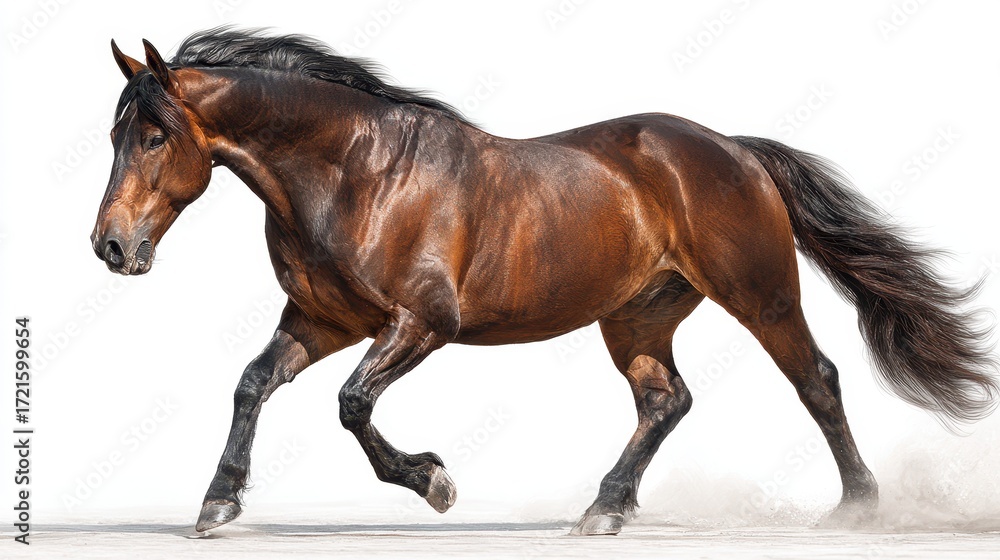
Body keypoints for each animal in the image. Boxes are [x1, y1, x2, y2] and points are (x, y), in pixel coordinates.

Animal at [92, 28, 997, 535]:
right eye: (113, 133)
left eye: (153, 134)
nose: (109, 245)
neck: (357, 173)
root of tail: (735, 150)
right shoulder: (321, 321)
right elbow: (252, 385)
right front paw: (217, 505)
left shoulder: (421, 324)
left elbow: (351, 405)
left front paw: (434, 483)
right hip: (636, 318)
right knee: (666, 401)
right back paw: (605, 510)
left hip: (762, 295)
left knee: (816, 379)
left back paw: (856, 508)